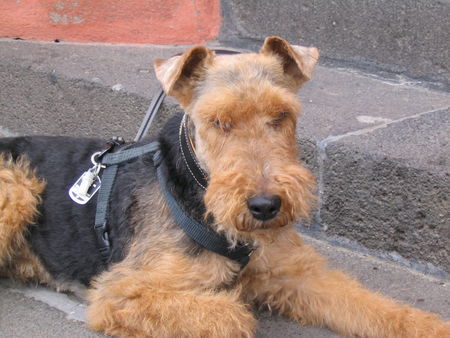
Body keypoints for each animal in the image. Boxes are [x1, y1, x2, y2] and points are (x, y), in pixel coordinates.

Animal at [0, 35, 450, 336]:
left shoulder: (295, 273)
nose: (265, 206)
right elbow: (232, 315)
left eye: (281, 114)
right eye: (218, 121)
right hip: (19, 189)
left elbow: (373, 305)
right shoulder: (120, 291)